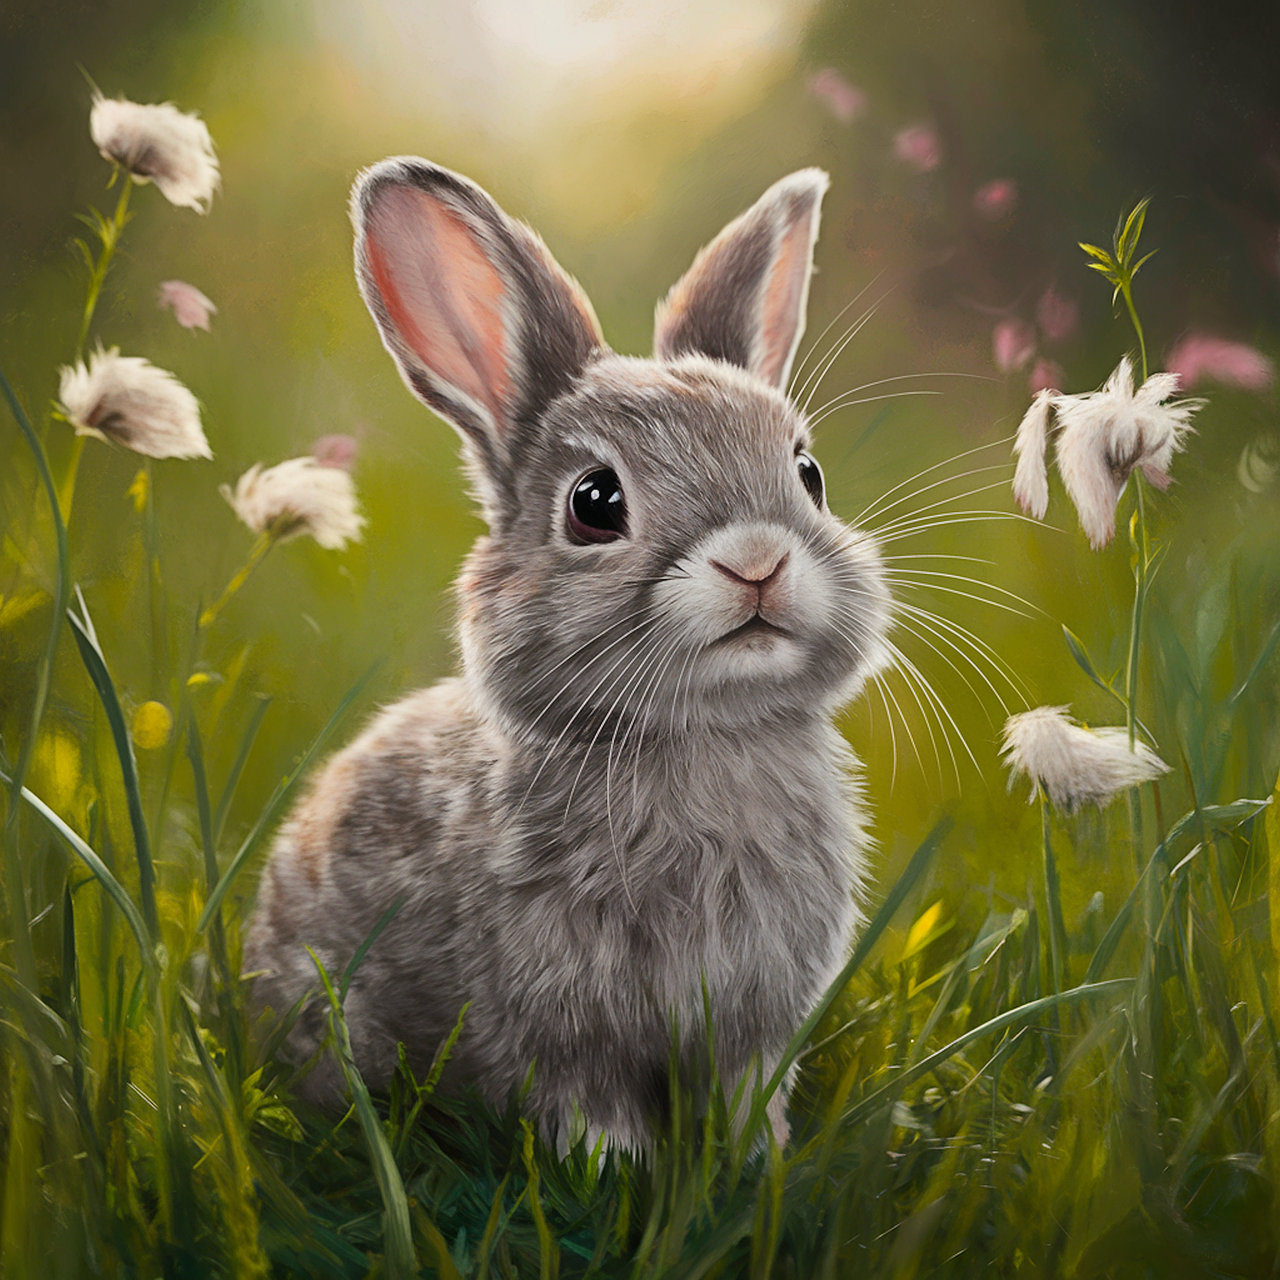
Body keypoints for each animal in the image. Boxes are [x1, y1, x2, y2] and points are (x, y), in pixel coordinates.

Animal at [243, 156, 892, 1153]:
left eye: (808, 475)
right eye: (595, 502)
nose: (758, 560)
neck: (699, 740)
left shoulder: (754, 1027)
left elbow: (746, 1095)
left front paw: (759, 1164)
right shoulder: (554, 1028)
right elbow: (588, 1113)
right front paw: (615, 1173)